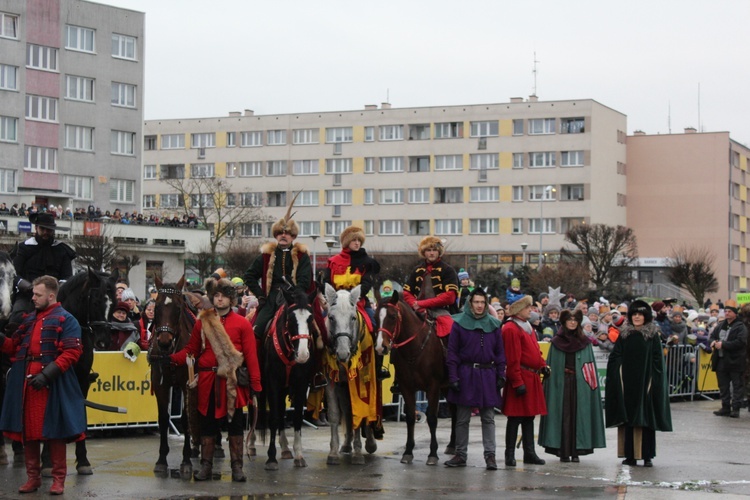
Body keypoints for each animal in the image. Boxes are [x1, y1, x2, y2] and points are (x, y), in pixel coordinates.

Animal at [326, 286, 378, 464]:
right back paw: (347, 444)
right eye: (331, 318)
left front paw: (358, 453)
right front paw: (333, 452)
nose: (343, 353)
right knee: (348, 412)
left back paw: (370, 443)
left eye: (353, 318)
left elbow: (361, 413)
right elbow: (335, 415)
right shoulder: (332, 382)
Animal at [376, 292, 458, 466]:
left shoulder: (433, 387)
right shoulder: (407, 388)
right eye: (375, 317)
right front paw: (408, 452)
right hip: (446, 387)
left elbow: (432, 418)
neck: (414, 347)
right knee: (455, 412)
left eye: (393, 316)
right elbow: (410, 417)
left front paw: (432, 454)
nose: (380, 347)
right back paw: (452, 445)